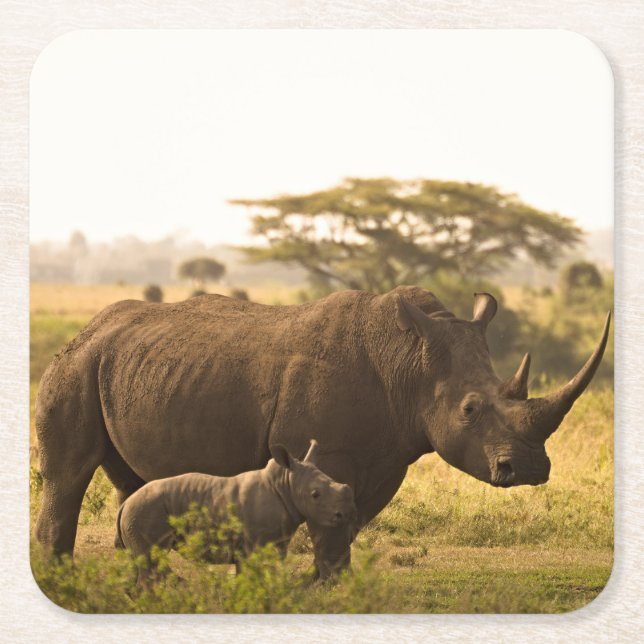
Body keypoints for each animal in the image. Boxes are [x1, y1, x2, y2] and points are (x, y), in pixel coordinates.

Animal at [115, 440, 355, 576]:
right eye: (315, 495)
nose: (345, 514)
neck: (285, 484)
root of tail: (126, 504)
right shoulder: (255, 544)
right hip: (145, 511)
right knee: (150, 561)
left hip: (140, 512)